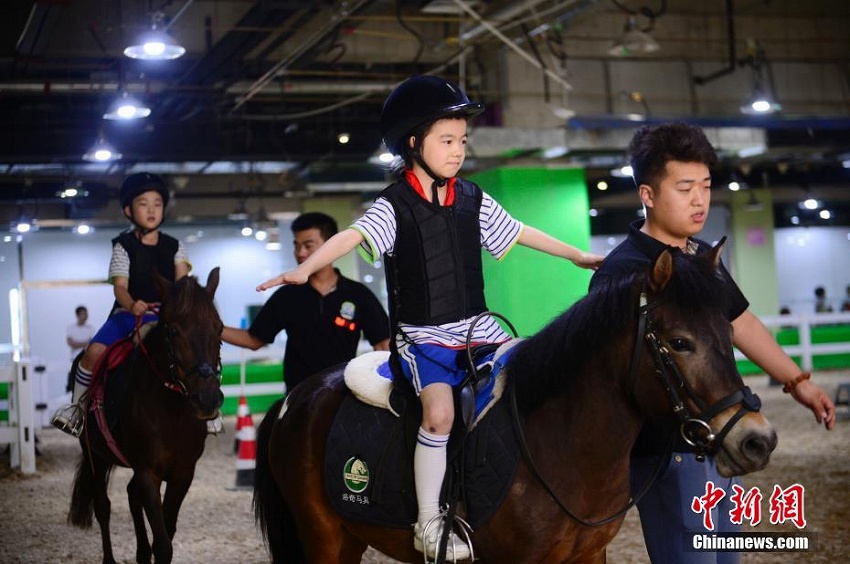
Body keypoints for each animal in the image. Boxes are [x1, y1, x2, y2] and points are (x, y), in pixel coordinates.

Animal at [68, 268, 224, 564]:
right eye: (173, 330)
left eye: (219, 328)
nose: (208, 399)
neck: (172, 411)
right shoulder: (148, 471)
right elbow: (163, 544)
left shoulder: (182, 473)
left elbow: (167, 530)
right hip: (96, 456)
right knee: (103, 506)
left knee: (131, 495)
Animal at [252, 245, 776, 560]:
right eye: (680, 342)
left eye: (729, 332)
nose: (757, 440)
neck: (558, 445)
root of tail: (296, 397)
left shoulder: (589, 555)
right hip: (324, 535)